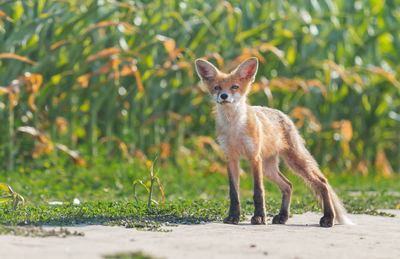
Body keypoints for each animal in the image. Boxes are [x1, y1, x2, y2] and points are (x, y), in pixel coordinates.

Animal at [195, 57, 354, 228]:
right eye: (217, 87)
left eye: (234, 87)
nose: (223, 96)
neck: (234, 128)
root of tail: (283, 114)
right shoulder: (231, 158)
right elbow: (234, 194)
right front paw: (233, 217)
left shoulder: (254, 157)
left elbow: (258, 192)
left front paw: (259, 218)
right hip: (269, 169)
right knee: (288, 186)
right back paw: (283, 216)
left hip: (294, 162)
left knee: (322, 182)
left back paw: (328, 217)